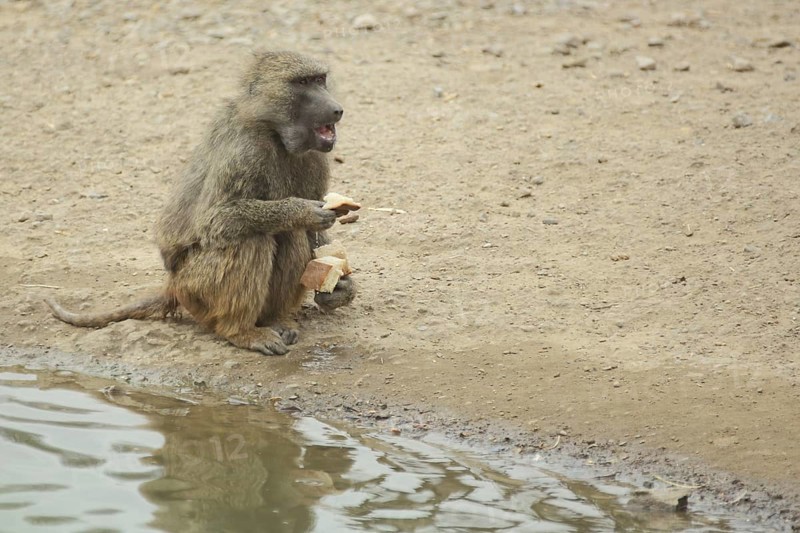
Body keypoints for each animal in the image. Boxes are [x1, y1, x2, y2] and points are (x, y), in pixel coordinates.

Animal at [45, 51, 357, 356]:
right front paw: (301, 212)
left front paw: (341, 288)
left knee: (291, 238)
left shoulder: (316, 159)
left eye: (320, 79)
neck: (273, 132)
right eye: (302, 82)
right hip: (196, 288)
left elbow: (314, 239)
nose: (337, 109)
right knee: (253, 238)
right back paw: (241, 331)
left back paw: (275, 320)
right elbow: (215, 220)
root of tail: (172, 285)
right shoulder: (244, 152)